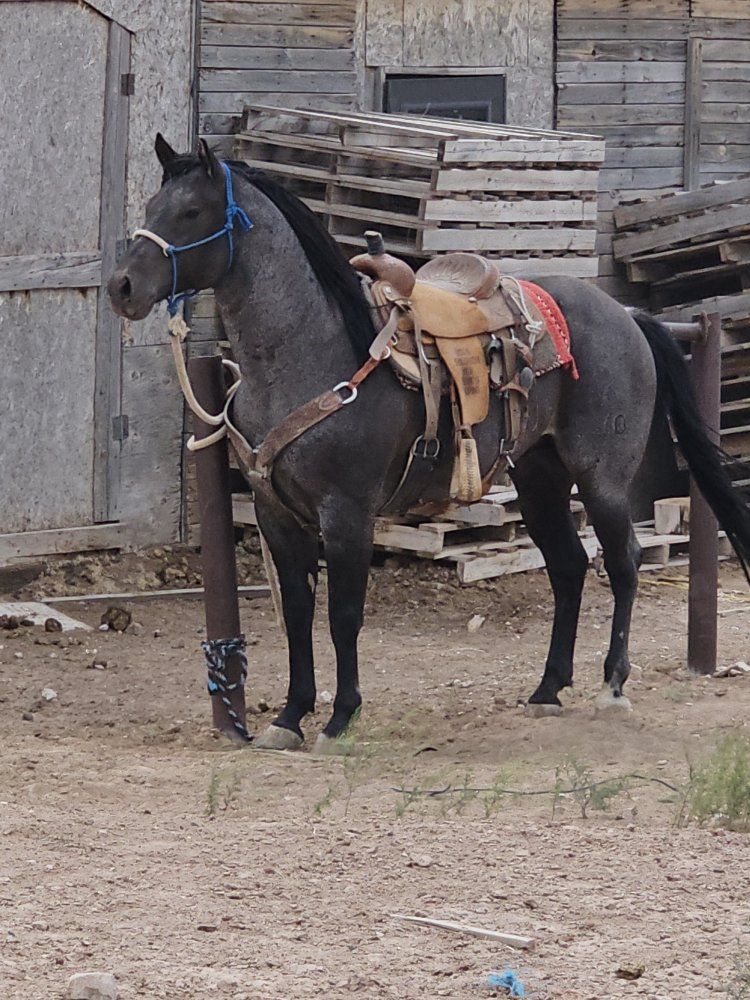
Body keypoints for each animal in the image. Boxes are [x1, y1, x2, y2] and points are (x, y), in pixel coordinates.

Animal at [108, 135, 750, 752]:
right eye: (152, 206)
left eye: (191, 211)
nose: (122, 287)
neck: (309, 349)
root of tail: (628, 314)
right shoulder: (276, 514)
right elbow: (296, 612)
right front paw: (289, 717)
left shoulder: (348, 513)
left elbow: (343, 614)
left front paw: (340, 718)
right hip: (539, 478)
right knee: (568, 566)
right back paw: (547, 688)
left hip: (602, 479)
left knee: (623, 562)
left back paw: (612, 685)